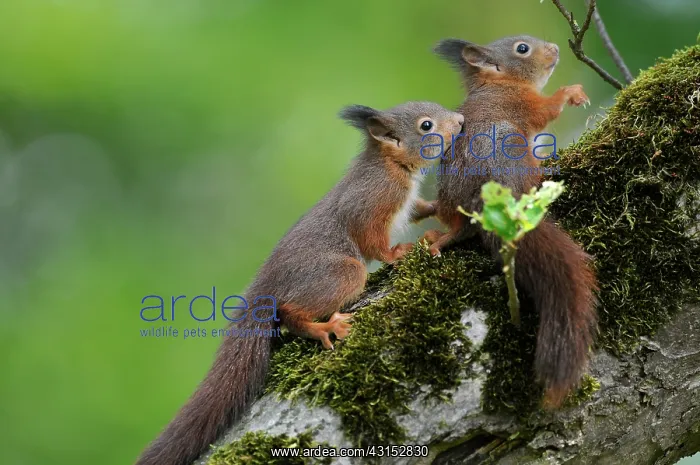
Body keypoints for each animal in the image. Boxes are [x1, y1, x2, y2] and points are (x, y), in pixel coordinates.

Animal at [135, 101, 464, 465]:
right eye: (426, 125)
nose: (461, 121)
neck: (393, 165)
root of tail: (266, 286)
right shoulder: (373, 201)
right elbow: (372, 240)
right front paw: (398, 253)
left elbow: (419, 208)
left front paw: (438, 208)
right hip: (340, 273)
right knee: (292, 312)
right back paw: (323, 327)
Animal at [424, 35, 598, 407]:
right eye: (522, 48)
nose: (555, 49)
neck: (500, 82)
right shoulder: (522, 104)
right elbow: (546, 111)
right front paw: (571, 93)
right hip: (511, 146)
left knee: (457, 228)